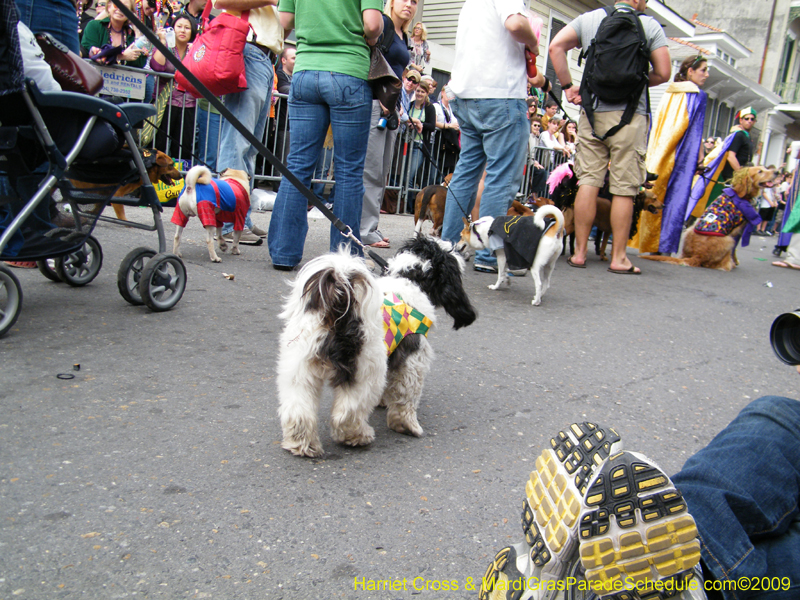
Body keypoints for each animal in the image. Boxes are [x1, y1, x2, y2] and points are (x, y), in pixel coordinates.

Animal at [276, 237, 476, 458]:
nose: (463, 250)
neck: (410, 280)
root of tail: (340, 305)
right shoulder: (413, 359)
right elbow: (407, 396)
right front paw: (407, 425)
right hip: (364, 372)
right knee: (347, 414)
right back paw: (357, 436)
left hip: (300, 369)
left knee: (298, 409)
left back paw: (302, 444)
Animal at [636, 165, 776, 270]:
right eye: (760, 171)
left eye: (764, 168)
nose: (777, 172)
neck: (739, 193)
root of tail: (697, 255)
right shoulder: (738, 230)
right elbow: (735, 250)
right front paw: (734, 262)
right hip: (727, 240)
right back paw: (727, 265)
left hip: (689, 230)